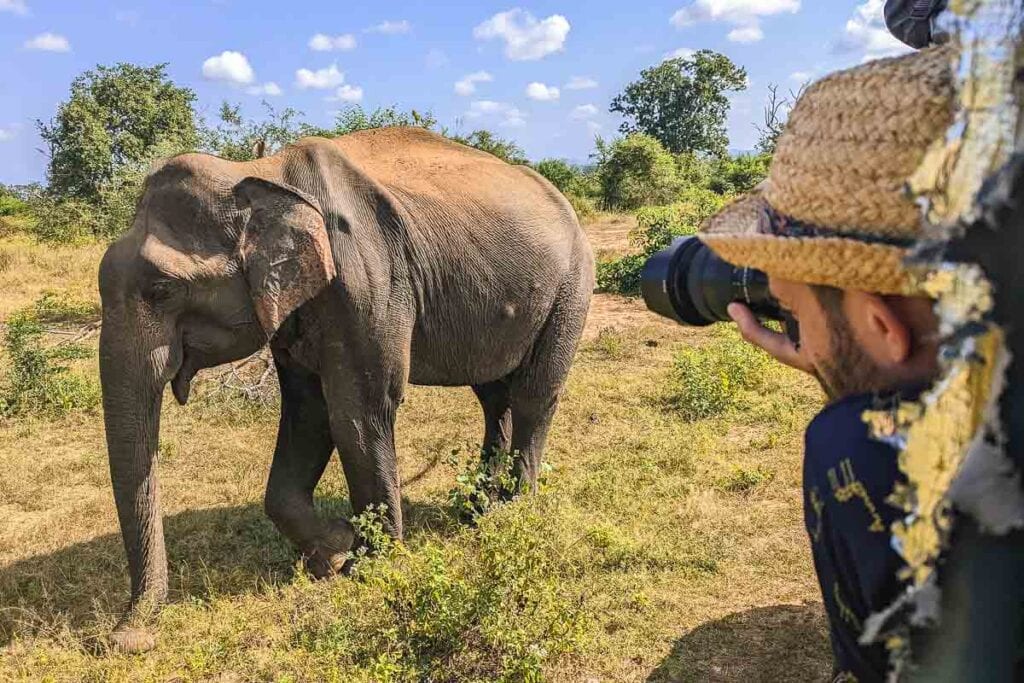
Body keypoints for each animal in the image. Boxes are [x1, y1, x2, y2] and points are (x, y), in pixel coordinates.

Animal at [97, 126, 593, 647]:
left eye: (162, 290)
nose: (126, 637)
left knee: (534, 394)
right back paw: (478, 510)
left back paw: (513, 511)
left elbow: (358, 411)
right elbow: (307, 412)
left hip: (571, 288)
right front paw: (333, 551)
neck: (259, 174)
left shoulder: (367, 280)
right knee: (493, 396)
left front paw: (369, 567)